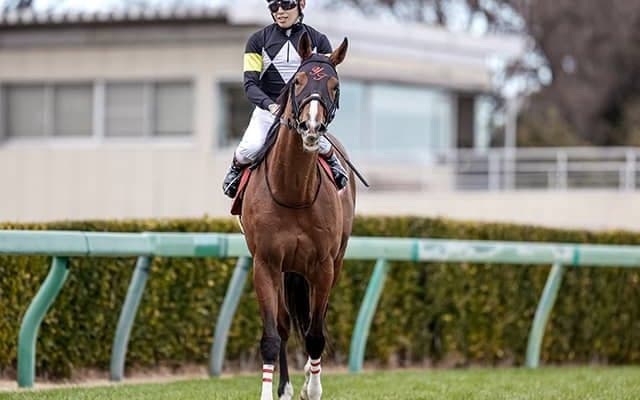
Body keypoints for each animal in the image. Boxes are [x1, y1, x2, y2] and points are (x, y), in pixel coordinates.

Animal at [241, 32, 355, 400]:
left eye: (334, 86)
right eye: (300, 81)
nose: (312, 126)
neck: (292, 191)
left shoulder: (323, 265)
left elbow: (316, 334)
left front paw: (313, 387)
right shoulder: (266, 263)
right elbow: (272, 334)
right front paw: (273, 391)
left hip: (335, 261)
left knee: (313, 324)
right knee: (285, 324)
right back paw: (287, 386)